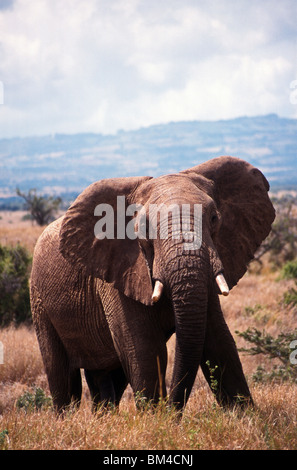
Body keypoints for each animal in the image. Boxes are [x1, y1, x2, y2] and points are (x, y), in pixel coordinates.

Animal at [30, 155, 276, 412]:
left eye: (214, 218)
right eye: (144, 228)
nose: (172, 410)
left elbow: (219, 342)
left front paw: (245, 414)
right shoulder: (118, 275)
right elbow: (145, 351)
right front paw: (157, 419)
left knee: (107, 378)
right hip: (39, 300)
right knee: (63, 378)